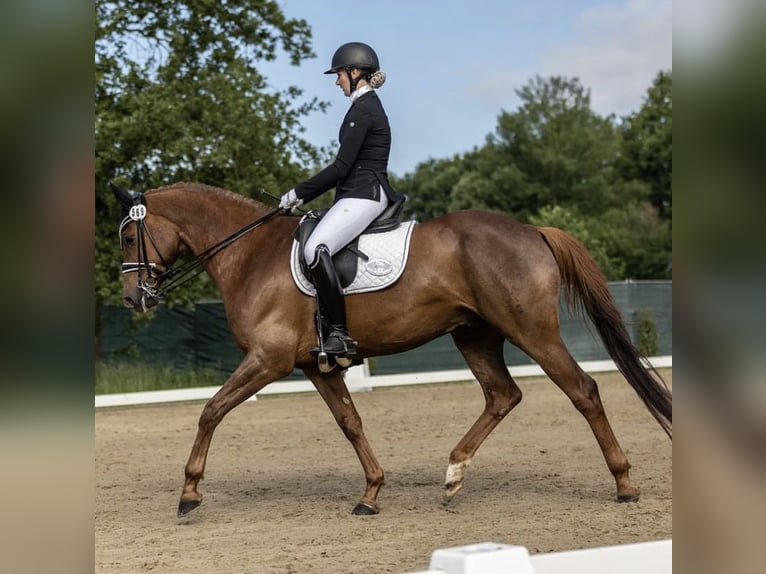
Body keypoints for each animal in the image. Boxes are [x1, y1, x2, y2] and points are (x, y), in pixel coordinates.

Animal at [111, 181, 676, 516]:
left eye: (128, 238)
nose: (131, 298)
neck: (251, 255)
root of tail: (532, 230)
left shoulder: (268, 360)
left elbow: (211, 410)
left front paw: (189, 492)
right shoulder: (315, 366)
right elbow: (350, 422)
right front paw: (371, 492)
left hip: (531, 331)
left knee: (583, 390)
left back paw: (625, 484)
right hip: (474, 334)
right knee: (502, 396)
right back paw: (453, 474)